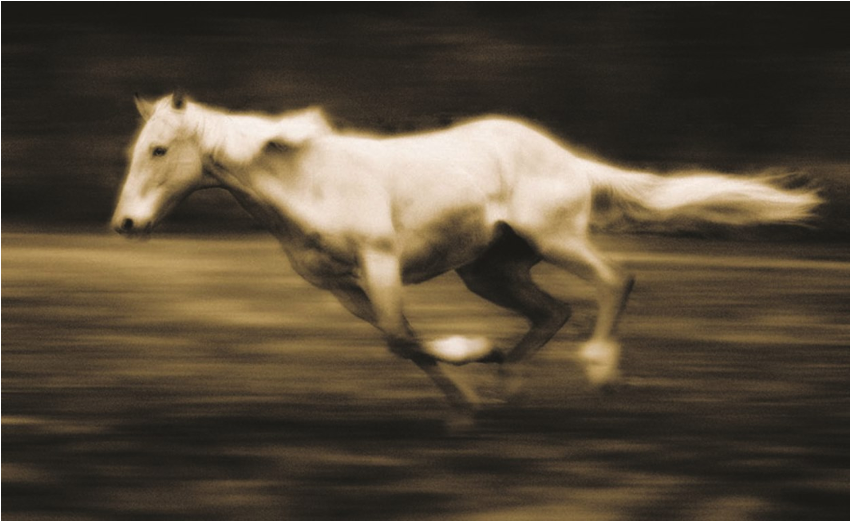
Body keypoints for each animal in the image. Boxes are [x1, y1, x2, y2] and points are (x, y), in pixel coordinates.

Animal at [112, 92, 820, 421]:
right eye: (136, 149)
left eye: (159, 150)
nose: (126, 224)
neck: (308, 184)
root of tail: (568, 159)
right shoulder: (343, 287)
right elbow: (400, 342)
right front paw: (469, 399)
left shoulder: (380, 262)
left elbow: (404, 338)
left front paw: (472, 357)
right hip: (488, 270)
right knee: (553, 312)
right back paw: (509, 383)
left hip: (556, 240)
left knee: (616, 280)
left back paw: (598, 371)